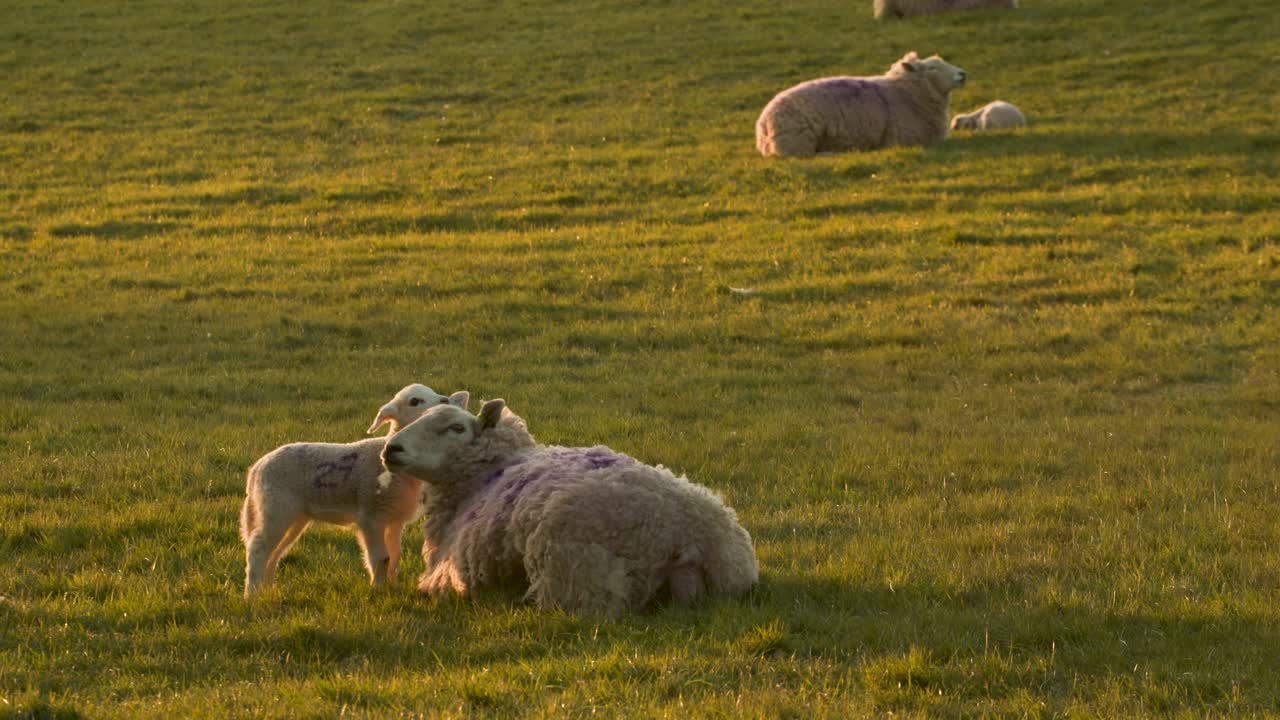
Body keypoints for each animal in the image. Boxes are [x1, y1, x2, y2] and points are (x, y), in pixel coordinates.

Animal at [240, 384, 471, 597]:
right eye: (415, 401)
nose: (445, 401)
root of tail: (256, 468)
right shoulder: (371, 518)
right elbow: (381, 558)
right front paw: (377, 589)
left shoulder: (394, 520)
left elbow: (395, 556)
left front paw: (392, 587)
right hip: (275, 508)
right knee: (258, 548)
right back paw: (252, 594)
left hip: (295, 517)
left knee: (275, 552)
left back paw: (267, 589)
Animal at [752, 52, 962, 158]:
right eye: (932, 68)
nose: (963, 74)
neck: (905, 92)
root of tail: (762, 126)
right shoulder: (905, 140)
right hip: (797, 143)